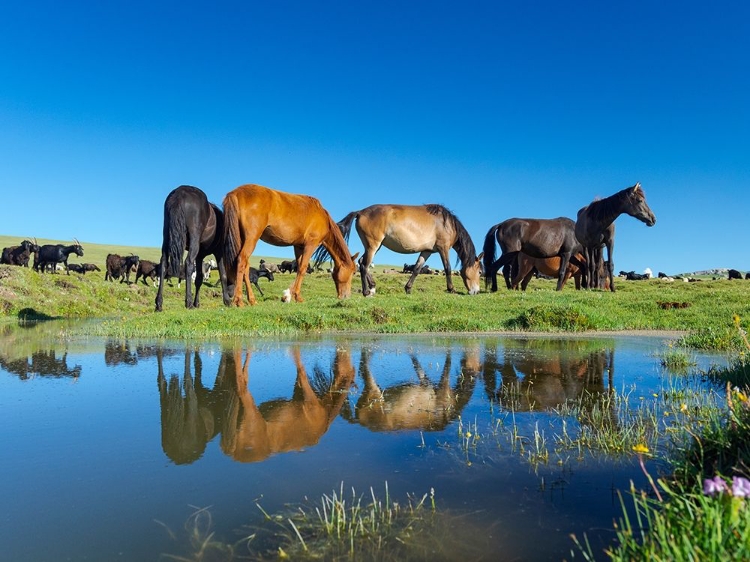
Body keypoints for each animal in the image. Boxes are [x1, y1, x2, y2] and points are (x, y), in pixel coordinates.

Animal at [222, 183, 360, 306]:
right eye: (353, 272)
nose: (345, 296)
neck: (323, 217)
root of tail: (236, 193)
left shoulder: (298, 246)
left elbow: (298, 267)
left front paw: (290, 295)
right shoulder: (311, 244)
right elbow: (303, 268)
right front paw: (294, 297)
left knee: (245, 265)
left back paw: (252, 300)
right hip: (252, 237)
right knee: (242, 260)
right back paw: (239, 301)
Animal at [316, 202, 482, 298]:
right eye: (480, 272)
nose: (475, 291)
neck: (445, 222)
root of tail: (360, 212)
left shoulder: (427, 251)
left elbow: (417, 268)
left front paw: (408, 289)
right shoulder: (443, 248)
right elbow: (447, 268)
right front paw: (451, 289)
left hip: (375, 246)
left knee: (362, 262)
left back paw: (373, 287)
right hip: (373, 245)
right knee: (364, 265)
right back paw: (366, 291)